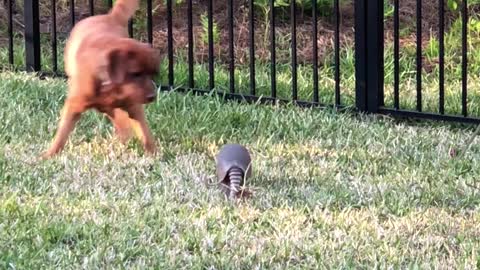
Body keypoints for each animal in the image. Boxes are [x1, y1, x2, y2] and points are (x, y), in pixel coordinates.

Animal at [42, 0, 160, 158]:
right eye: (136, 74)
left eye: (152, 74)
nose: (152, 96)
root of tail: (110, 16)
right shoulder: (74, 106)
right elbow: (62, 134)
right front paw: (49, 154)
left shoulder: (134, 107)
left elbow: (145, 132)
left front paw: (154, 154)